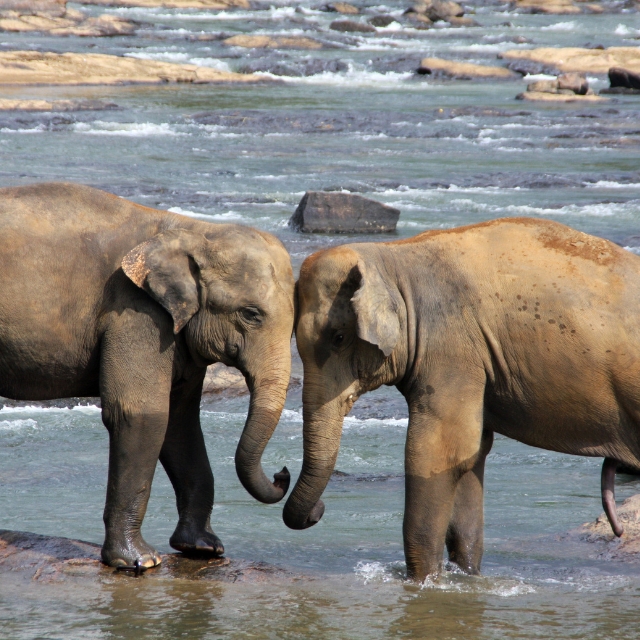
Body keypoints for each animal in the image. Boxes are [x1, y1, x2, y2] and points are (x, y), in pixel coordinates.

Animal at [0, 182, 296, 568]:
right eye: (250, 314)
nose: (282, 473)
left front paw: (204, 548)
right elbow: (141, 414)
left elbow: (180, 422)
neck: (193, 230)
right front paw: (140, 562)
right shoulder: (135, 311)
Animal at [284, 218, 640, 584]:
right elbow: (472, 454)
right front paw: (466, 577)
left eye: (339, 338)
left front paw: (424, 582)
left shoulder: (451, 348)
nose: (318, 509)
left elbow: (437, 452)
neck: (392, 256)